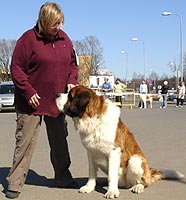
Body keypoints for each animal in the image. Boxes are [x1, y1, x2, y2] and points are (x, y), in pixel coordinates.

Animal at [55, 85, 183, 198]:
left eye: (70, 96)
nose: (56, 94)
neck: (92, 118)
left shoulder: (114, 152)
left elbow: (112, 175)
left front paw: (112, 192)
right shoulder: (90, 153)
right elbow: (91, 172)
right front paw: (89, 187)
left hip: (135, 161)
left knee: (143, 182)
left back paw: (138, 187)